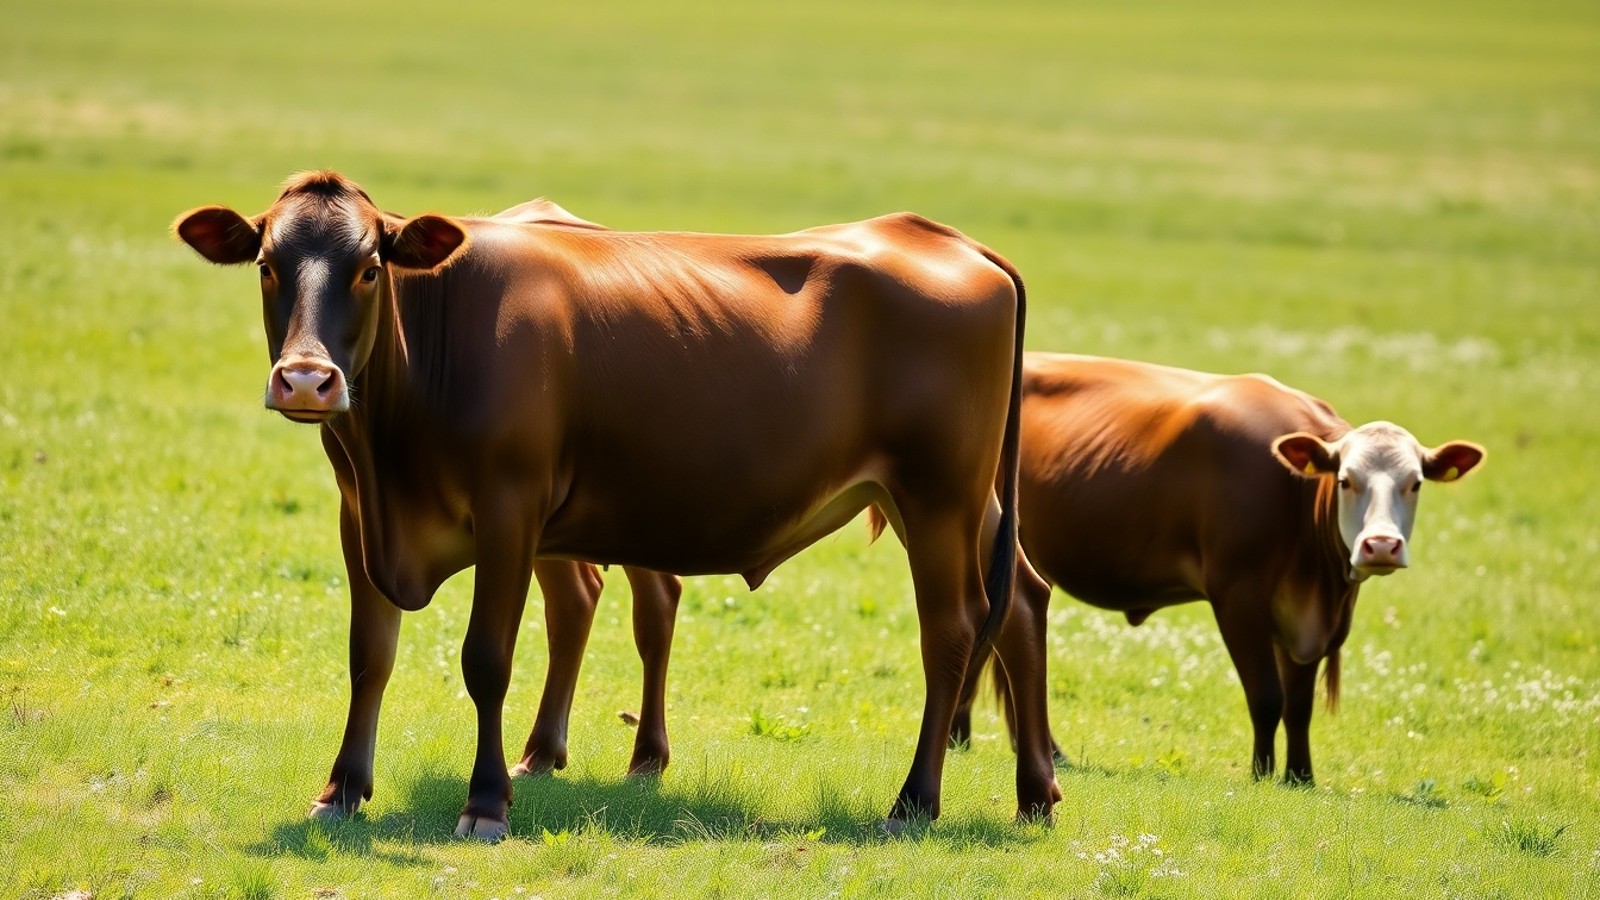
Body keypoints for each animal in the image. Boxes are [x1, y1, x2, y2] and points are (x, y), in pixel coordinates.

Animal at [172, 171, 1058, 839]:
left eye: (369, 266)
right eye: (266, 264)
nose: (307, 380)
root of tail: (941, 237)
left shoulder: (510, 507)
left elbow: (486, 659)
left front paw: (486, 804)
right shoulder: (359, 514)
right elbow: (369, 655)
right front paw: (343, 789)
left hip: (938, 497)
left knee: (950, 631)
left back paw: (915, 801)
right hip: (963, 503)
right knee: (1019, 602)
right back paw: (1035, 793)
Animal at [951, 353, 1485, 783]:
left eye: (1415, 483)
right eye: (1346, 480)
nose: (1380, 546)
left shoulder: (1304, 616)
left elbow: (1300, 706)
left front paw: (1300, 777)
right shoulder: (1238, 595)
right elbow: (1267, 697)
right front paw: (1261, 773)